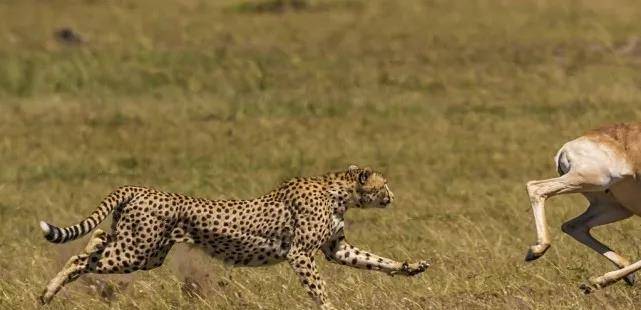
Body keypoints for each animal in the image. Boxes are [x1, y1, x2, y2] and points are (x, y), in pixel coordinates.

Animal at [40, 165, 430, 308]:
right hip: (138, 251)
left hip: (144, 250)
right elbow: (319, 289)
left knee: (94, 240)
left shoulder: (337, 249)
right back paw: (46, 292)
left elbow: (376, 260)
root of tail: (137, 188)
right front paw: (329, 307)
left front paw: (411, 267)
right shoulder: (300, 254)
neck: (339, 190)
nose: (392, 196)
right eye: (384, 184)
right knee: (81, 257)